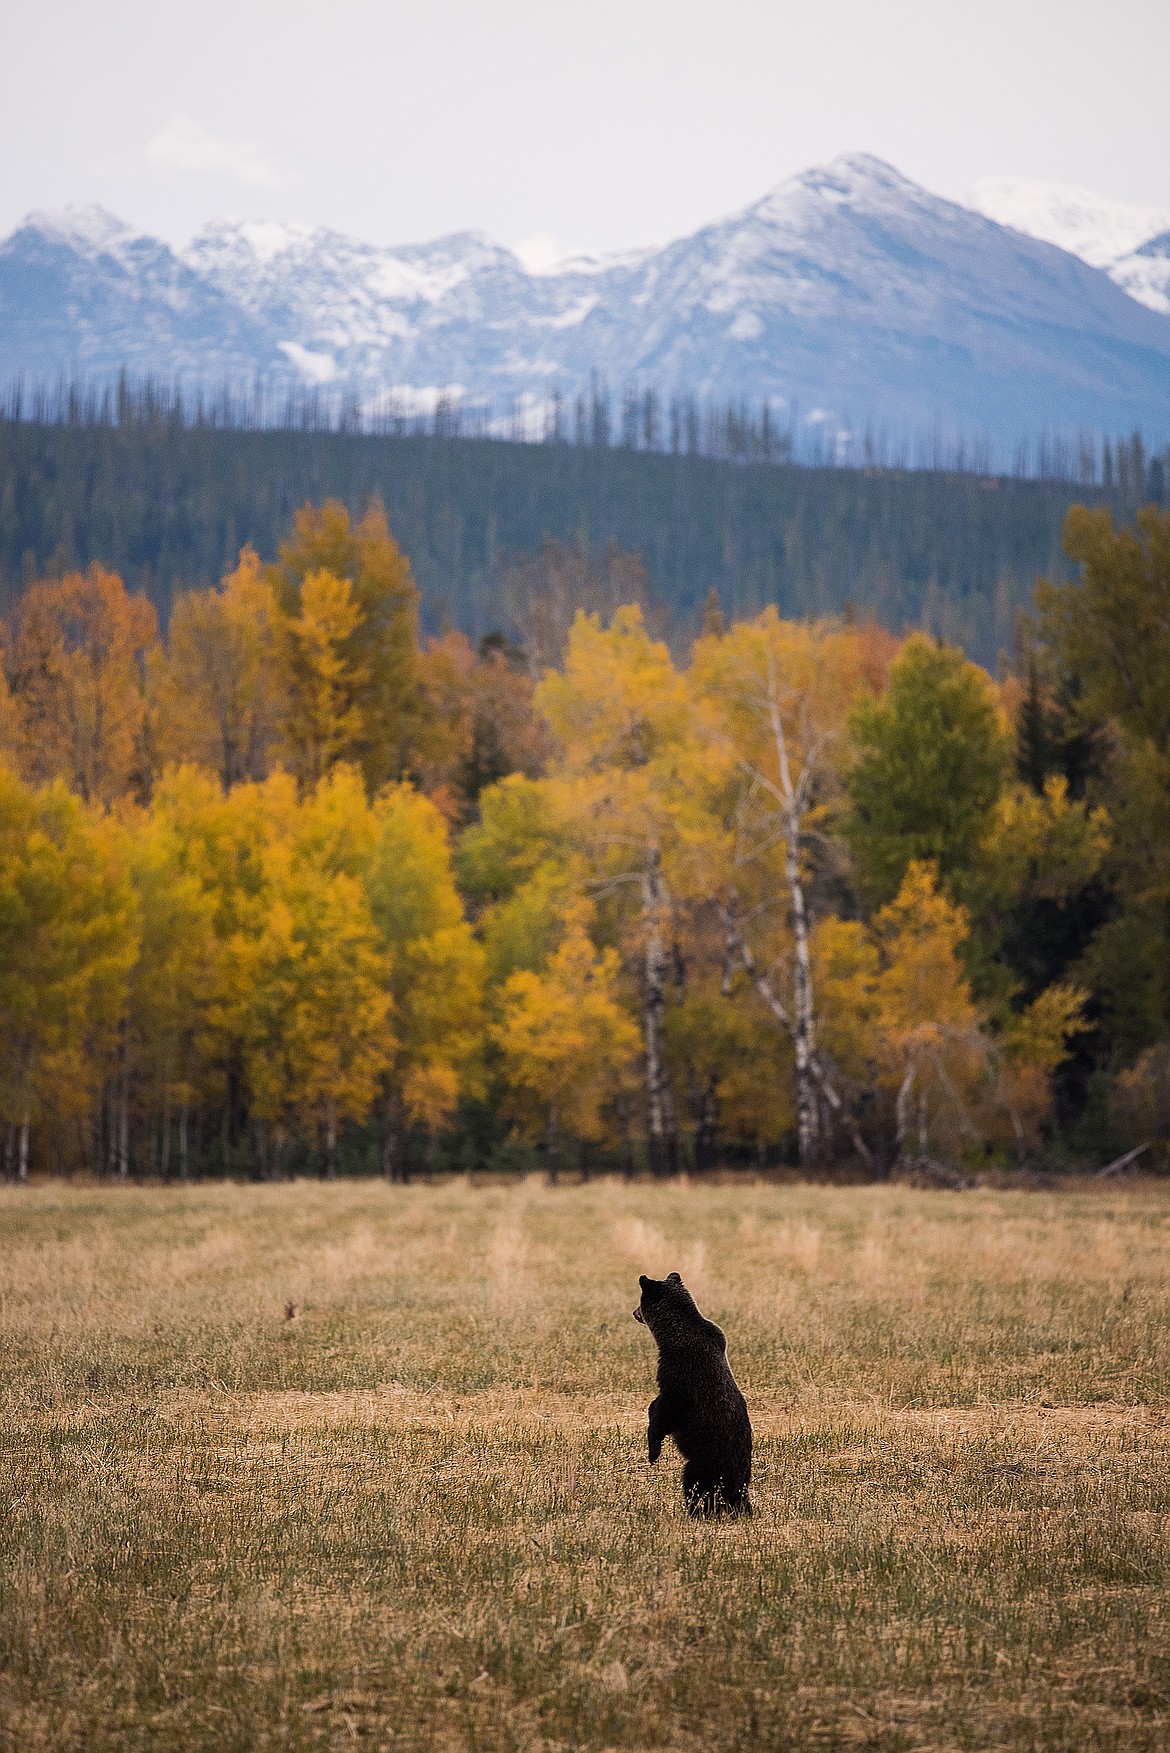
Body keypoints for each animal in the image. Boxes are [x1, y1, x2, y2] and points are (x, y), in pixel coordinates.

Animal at [634, 1269, 754, 1514]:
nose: (634, 1313)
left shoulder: (679, 1372)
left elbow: (668, 1409)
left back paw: (697, 1510)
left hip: (707, 1461)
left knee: (697, 1485)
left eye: (639, 1302)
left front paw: (653, 1452)